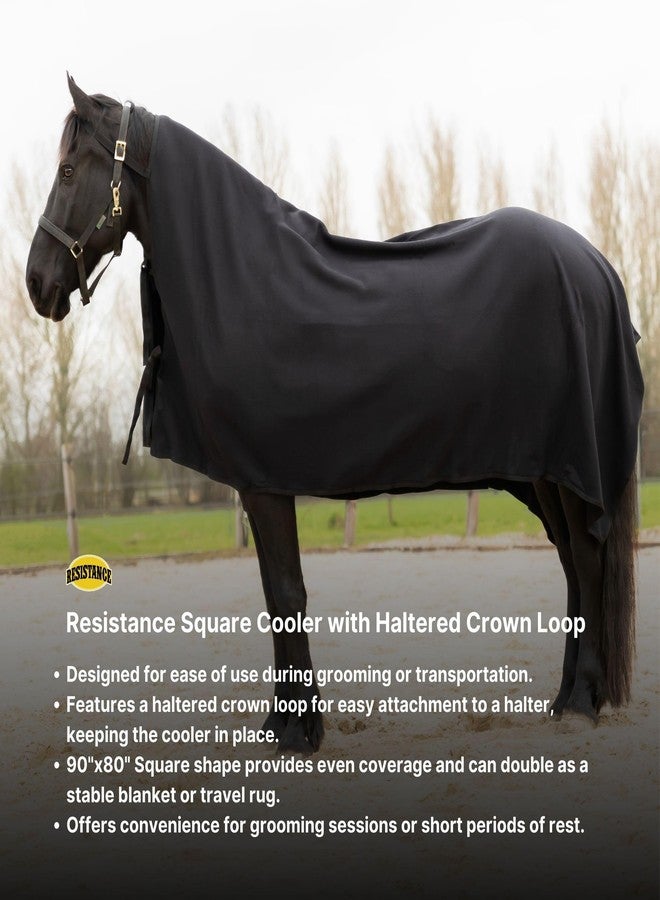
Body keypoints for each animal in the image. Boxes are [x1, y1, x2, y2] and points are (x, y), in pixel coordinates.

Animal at [26, 77, 643, 753]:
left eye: (66, 171)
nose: (36, 284)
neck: (245, 279)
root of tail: (595, 265)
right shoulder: (257, 481)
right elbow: (276, 595)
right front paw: (283, 724)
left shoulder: (264, 481)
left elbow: (285, 591)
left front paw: (299, 732)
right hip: (543, 470)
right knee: (573, 564)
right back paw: (563, 701)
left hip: (570, 467)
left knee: (587, 559)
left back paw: (581, 704)